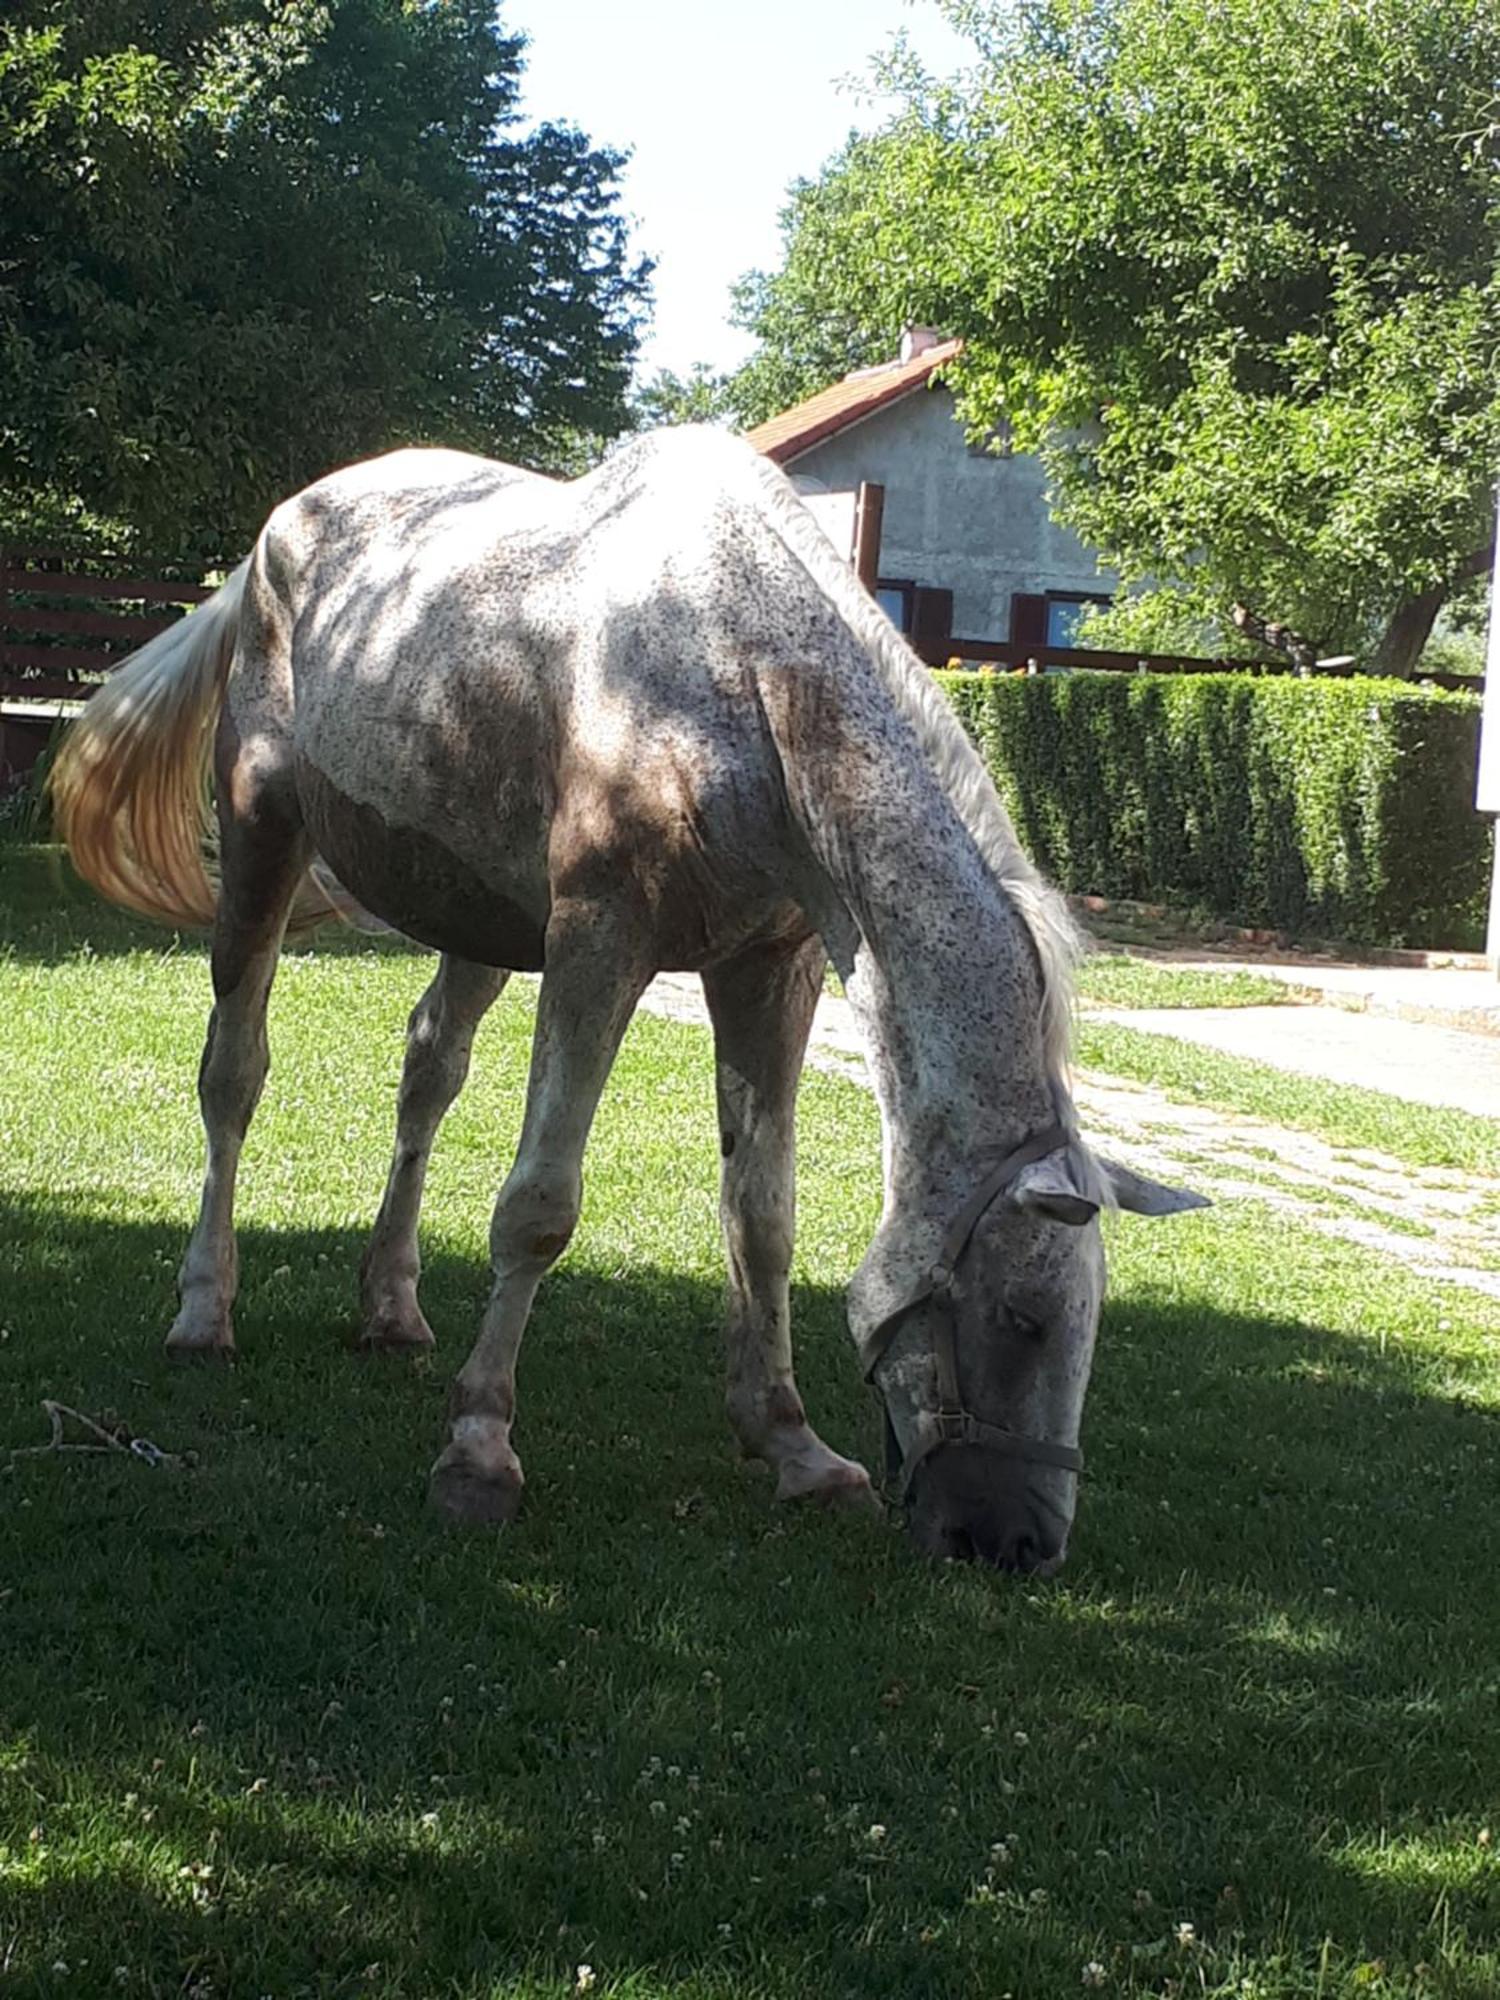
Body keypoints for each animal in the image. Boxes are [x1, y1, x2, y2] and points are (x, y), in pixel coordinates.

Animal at [50, 430, 1208, 1568]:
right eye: (1023, 1317)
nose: (1021, 1543)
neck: (745, 687)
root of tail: (277, 536)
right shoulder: (597, 945)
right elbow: (538, 1208)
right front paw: (478, 1452)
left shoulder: (766, 972)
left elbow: (763, 1216)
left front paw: (793, 1447)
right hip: (265, 834)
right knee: (233, 1074)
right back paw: (205, 1312)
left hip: (474, 913)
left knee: (428, 1070)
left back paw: (391, 1305)